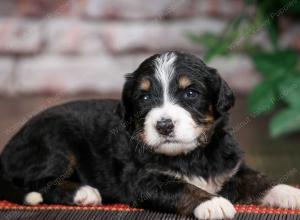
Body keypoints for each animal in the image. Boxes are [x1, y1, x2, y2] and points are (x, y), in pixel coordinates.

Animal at [0, 52, 300, 220]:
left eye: (191, 93)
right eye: (144, 97)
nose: (164, 125)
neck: (192, 156)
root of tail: (7, 149)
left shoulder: (229, 168)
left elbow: (259, 179)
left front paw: (290, 192)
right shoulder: (143, 181)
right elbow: (181, 187)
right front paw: (212, 202)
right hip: (53, 144)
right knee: (40, 182)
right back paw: (83, 192)